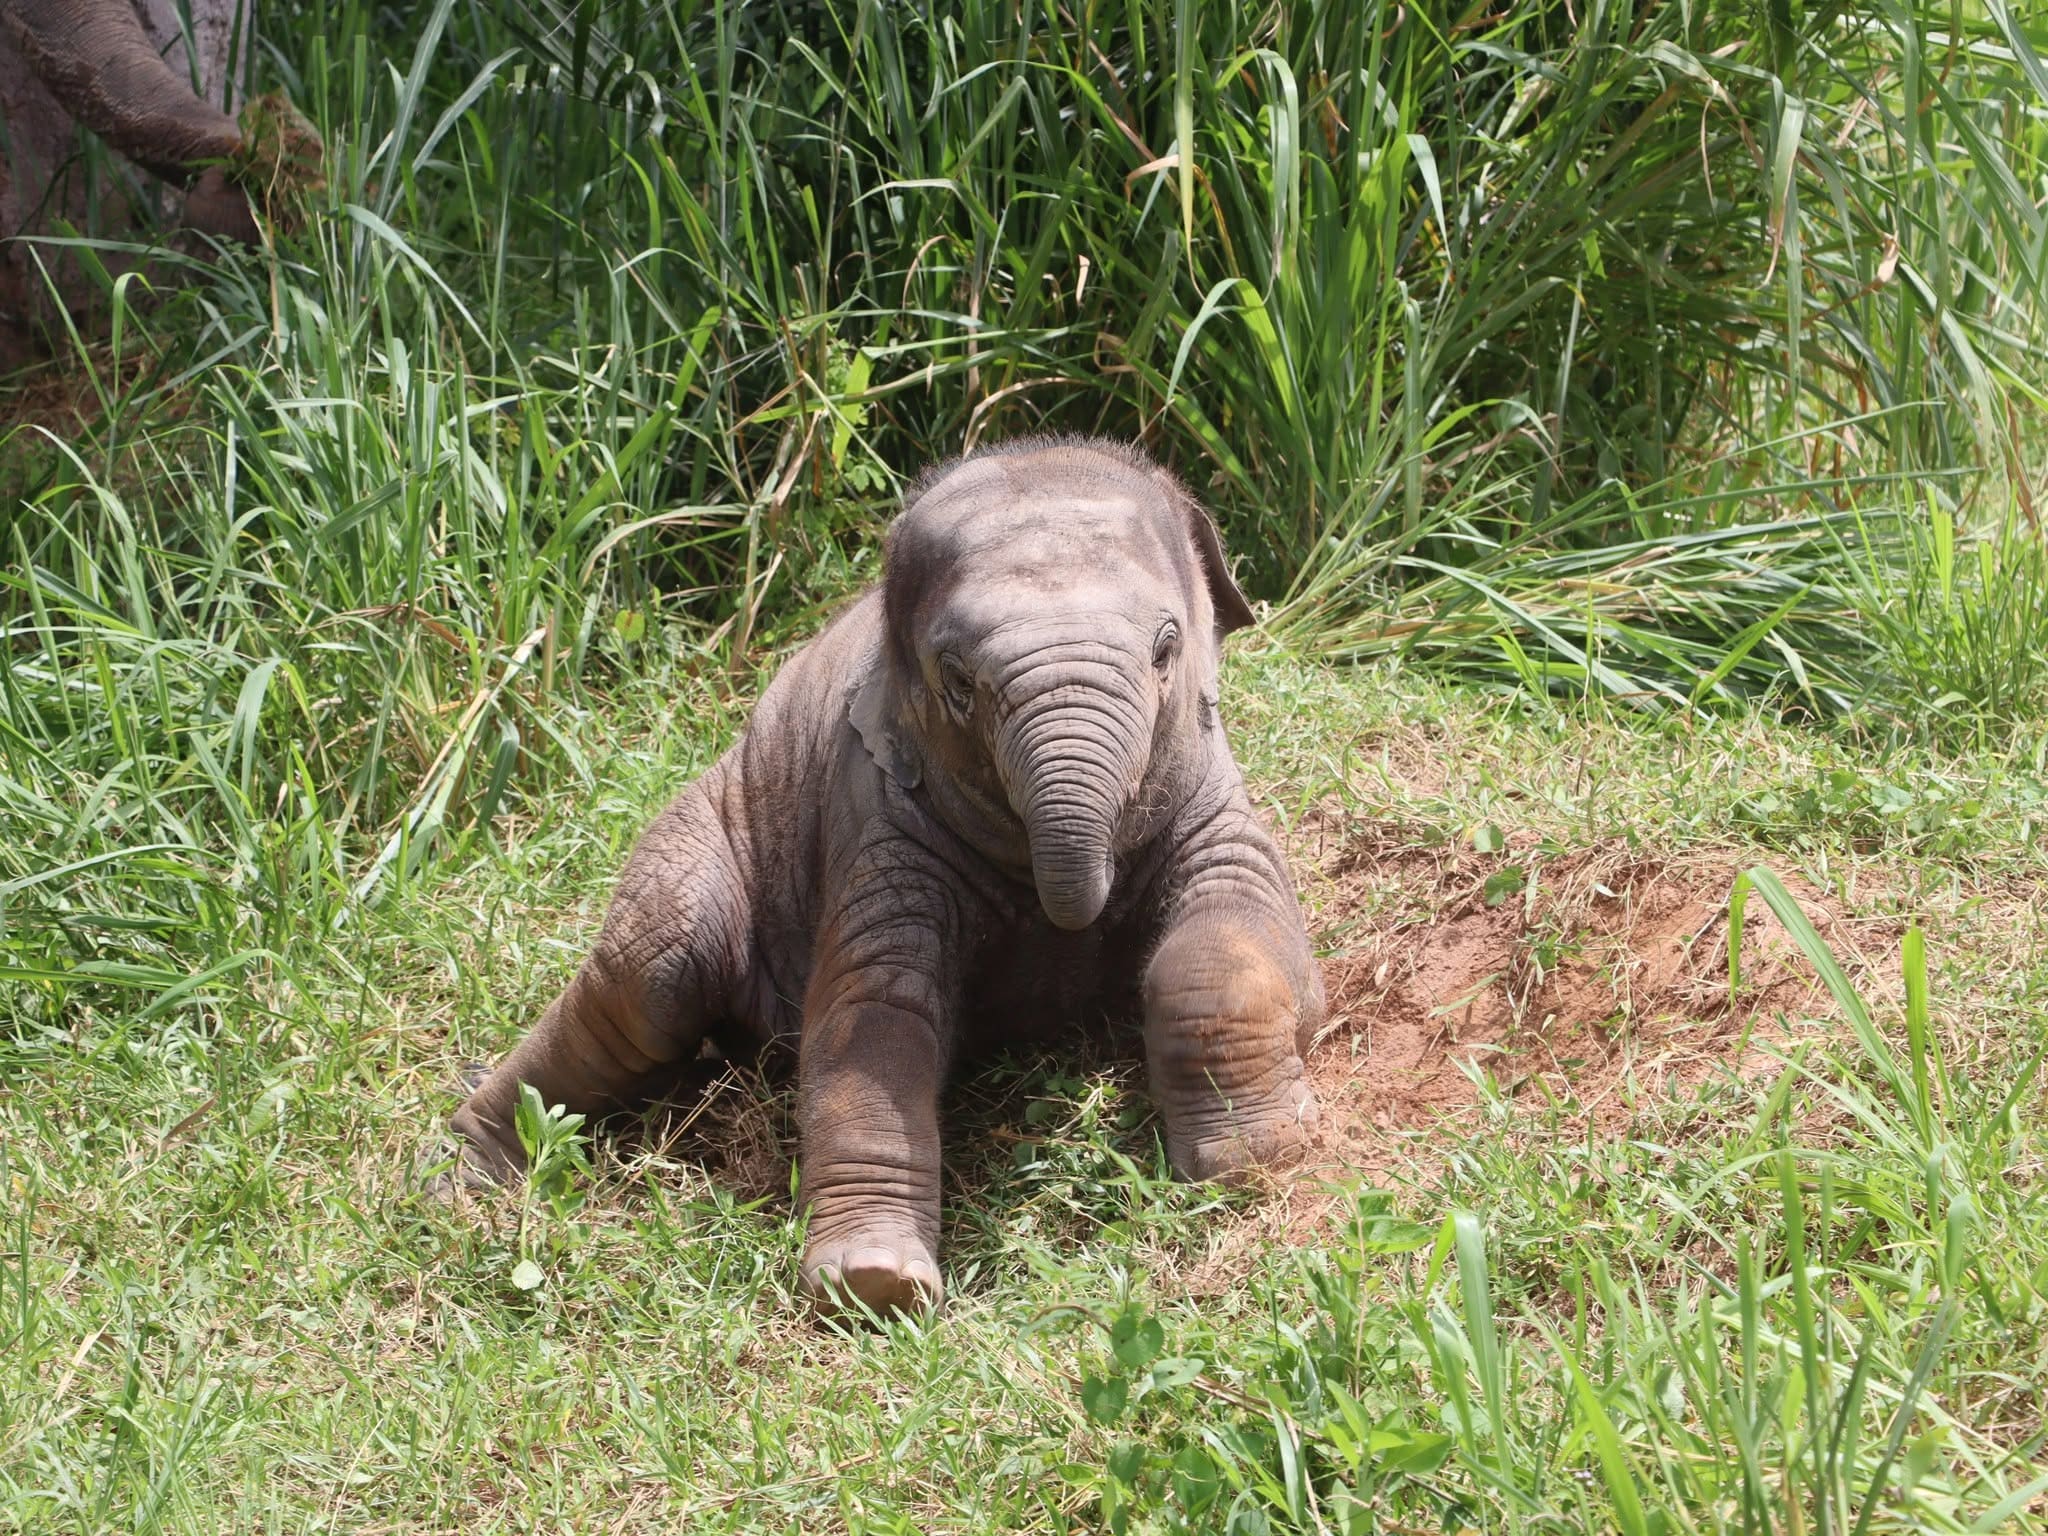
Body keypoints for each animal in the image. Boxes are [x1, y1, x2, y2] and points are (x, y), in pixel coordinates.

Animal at [448, 437, 1324, 1316]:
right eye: (957, 678)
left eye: (1166, 648)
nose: (1082, 919)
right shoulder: (874, 815)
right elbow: (874, 1018)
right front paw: (876, 1285)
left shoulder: (1216, 800)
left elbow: (1234, 946)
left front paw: (1255, 1163)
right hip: (698, 837)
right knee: (644, 987)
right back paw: (461, 1171)